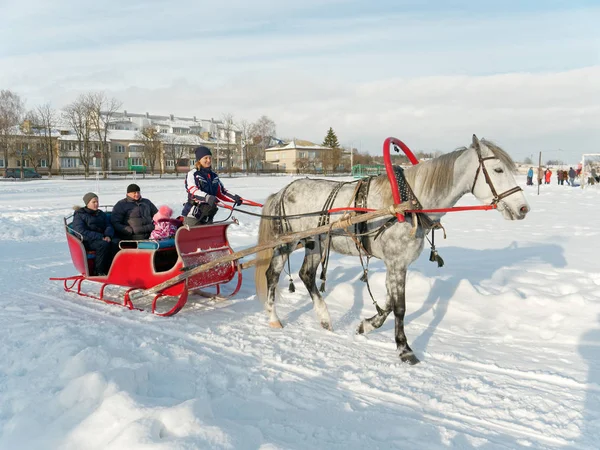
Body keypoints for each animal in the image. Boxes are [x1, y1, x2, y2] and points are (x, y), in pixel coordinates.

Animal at [253, 135, 528, 364]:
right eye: (498, 169)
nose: (523, 208)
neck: (407, 203)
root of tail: (282, 191)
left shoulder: (396, 263)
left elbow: (388, 301)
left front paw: (367, 325)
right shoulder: (396, 262)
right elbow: (400, 307)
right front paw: (404, 348)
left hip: (316, 242)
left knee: (307, 275)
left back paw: (324, 318)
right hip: (286, 242)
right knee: (272, 275)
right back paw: (274, 318)